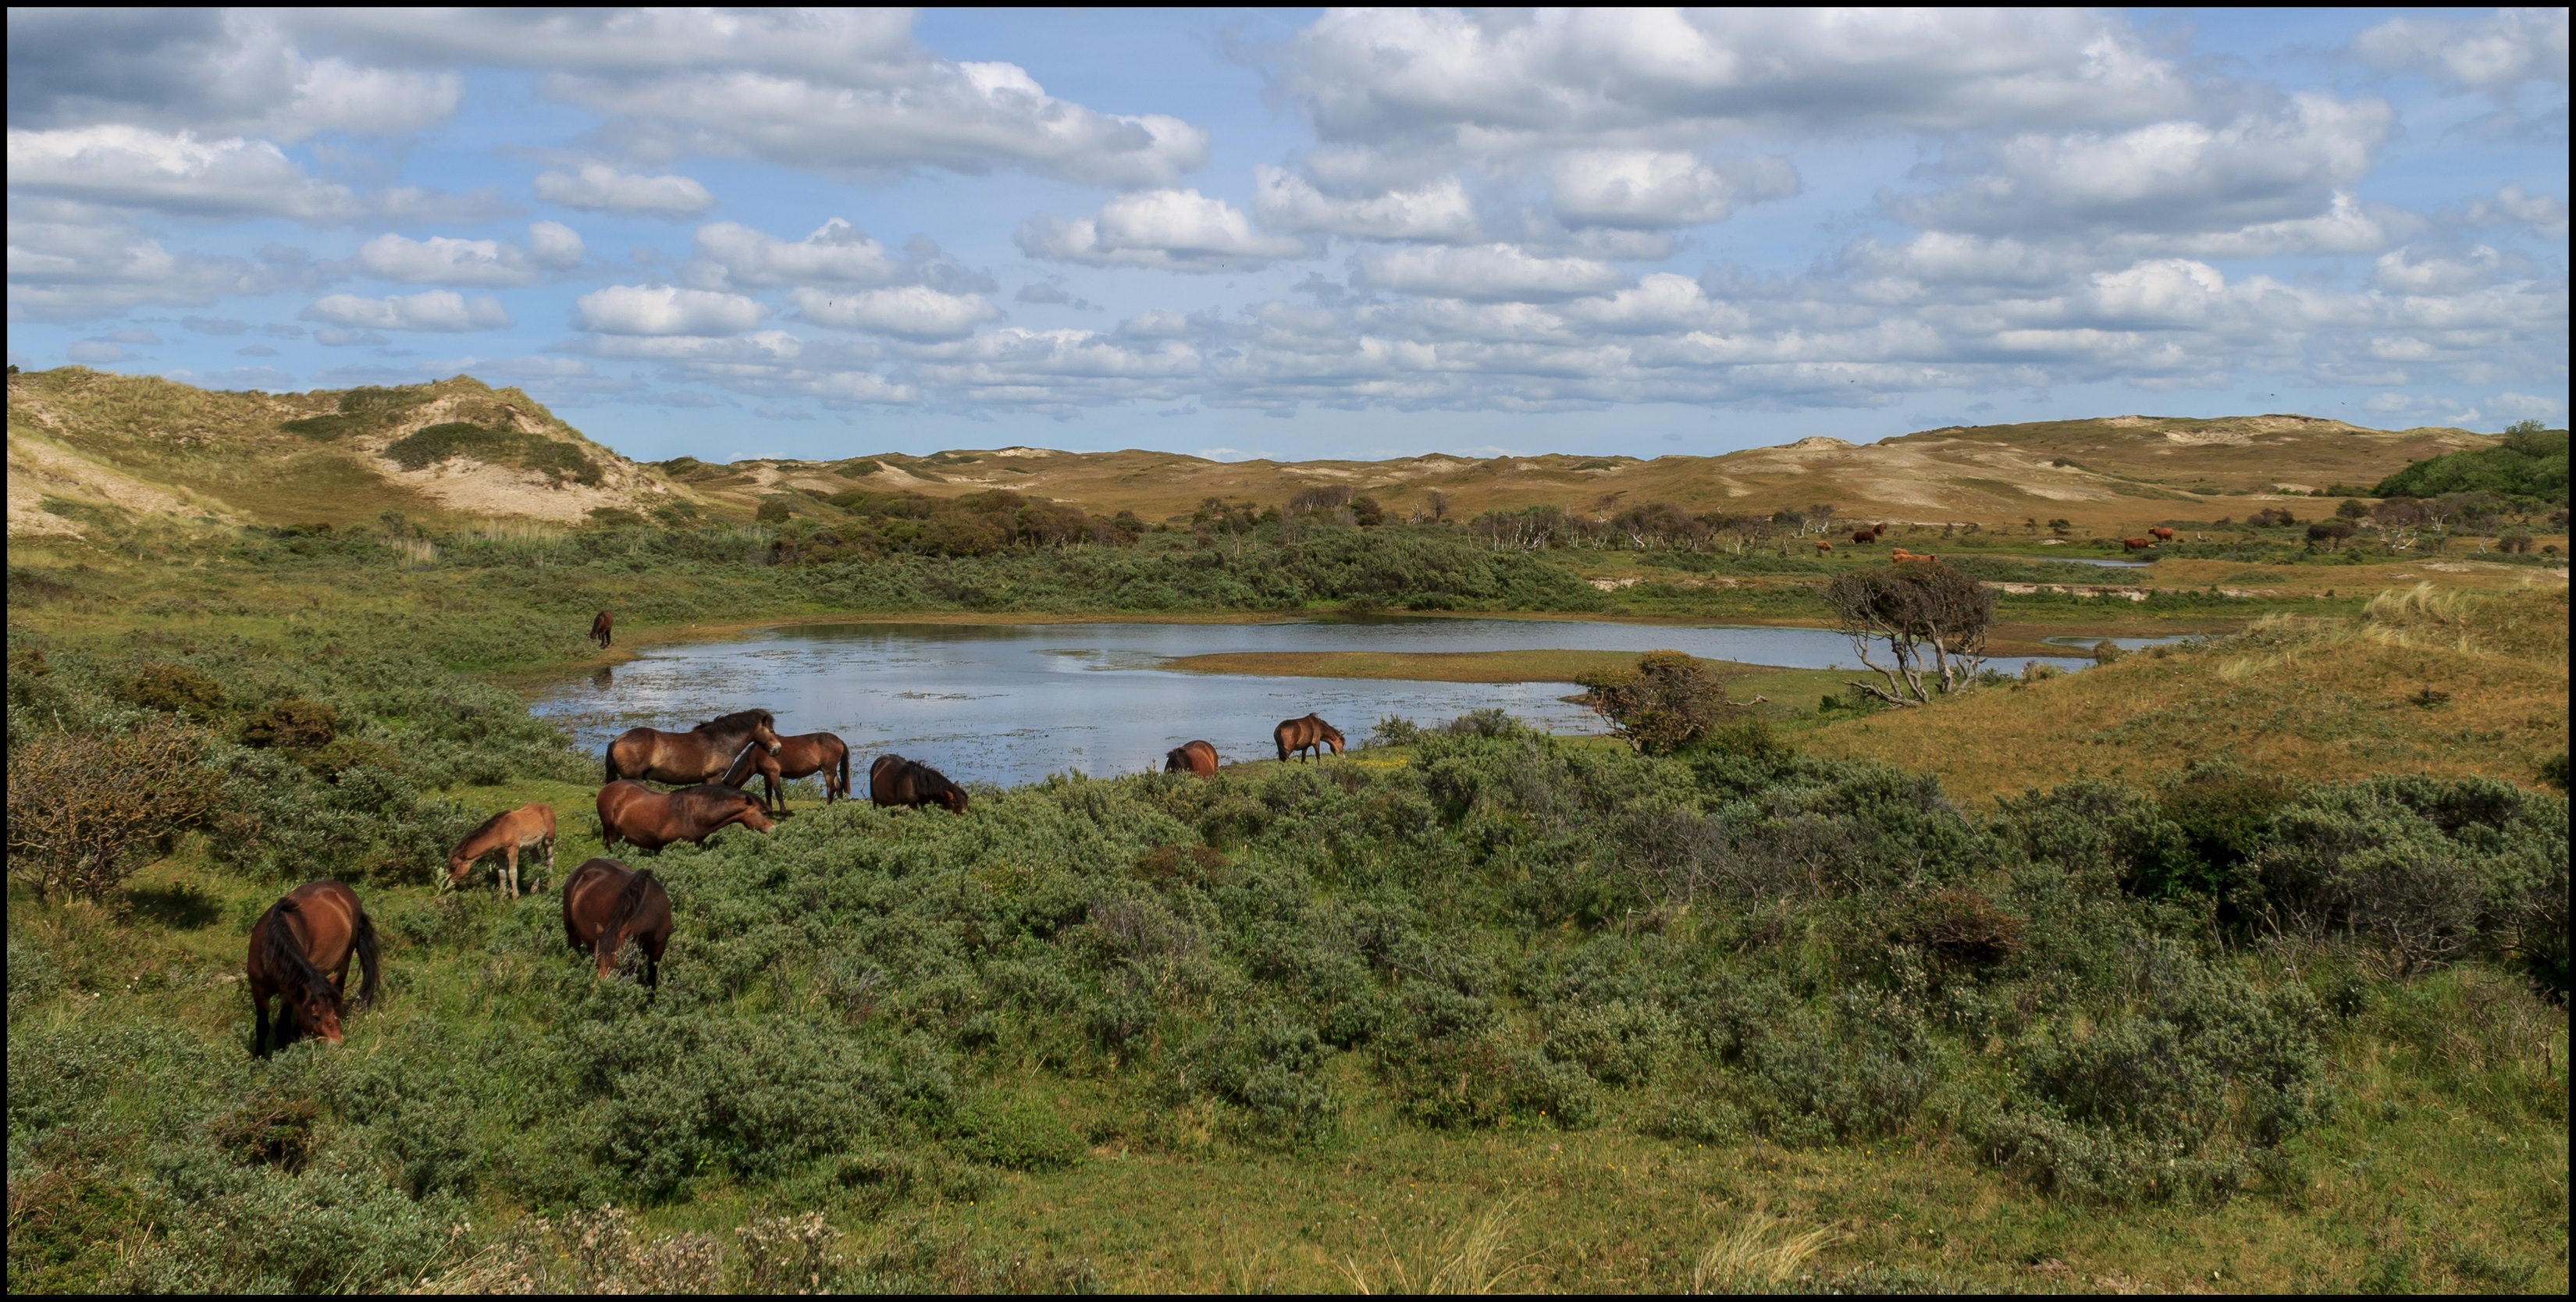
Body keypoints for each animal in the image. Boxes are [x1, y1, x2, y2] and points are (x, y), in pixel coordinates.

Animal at [245, 881, 379, 1058]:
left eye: (336, 1011)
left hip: (346, 958)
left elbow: (282, 1026)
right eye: (316, 1017)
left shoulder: (289, 993)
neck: (269, 951)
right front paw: (259, 1058)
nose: (336, 1043)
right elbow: (262, 1027)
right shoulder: (258, 990)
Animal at [445, 803, 555, 898]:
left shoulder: (513, 850)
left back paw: (549, 886)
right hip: (532, 845)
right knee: (537, 861)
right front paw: (501, 897)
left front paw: (515, 897)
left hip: (548, 840)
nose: (447, 885)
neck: (500, 832)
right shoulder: (498, 853)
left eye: (453, 867)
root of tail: (547, 807)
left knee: (549, 861)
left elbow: (512, 873)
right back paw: (534, 889)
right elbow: (502, 874)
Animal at [562, 858, 672, 989]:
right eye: (599, 961)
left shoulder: (656, 952)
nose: (603, 987)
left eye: (617, 963)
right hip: (572, 933)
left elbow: (651, 979)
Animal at [738, 731, 853, 814]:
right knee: (839, 787)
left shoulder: (773, 773)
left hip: (827, 770)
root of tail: (839, 741)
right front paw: (769, 812)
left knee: (831, 789)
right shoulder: (767, 775)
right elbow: (768, 793)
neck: (756, 754)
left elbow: (778, 793)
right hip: (832, 770)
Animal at [870, 754, 970, 813]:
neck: (917, 783)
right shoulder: (909, 804)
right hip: (875, 799)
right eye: (957, 805)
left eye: (966, 803)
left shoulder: (921, 804)